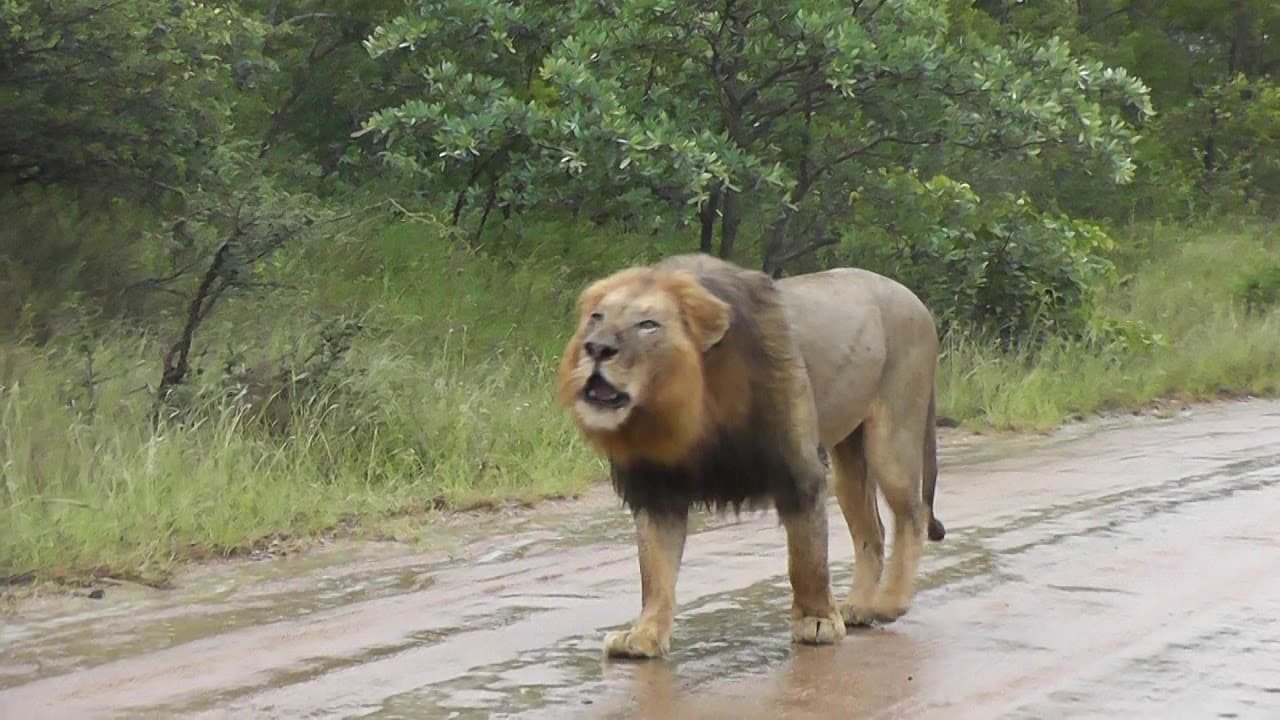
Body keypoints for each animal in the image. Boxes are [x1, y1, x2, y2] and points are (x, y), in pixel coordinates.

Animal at [555, 252, 947, 655]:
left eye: (648, 324)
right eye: (596, 317)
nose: (596, 348)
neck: (688, 409)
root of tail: (915, 300)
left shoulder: (796, 467)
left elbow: (806, 558)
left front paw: (817, 621)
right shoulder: (656, 486)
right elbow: (655, 571)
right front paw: (643, 636)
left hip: (893, 436)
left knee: (912, 514)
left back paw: (888, 604)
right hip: (850, 458)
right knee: (872, 530)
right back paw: (860, 606)